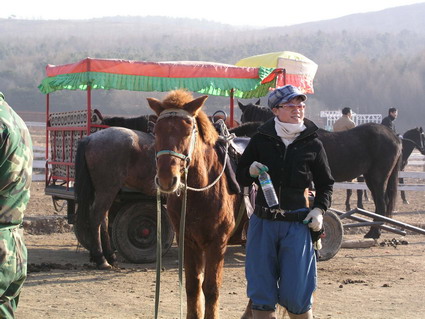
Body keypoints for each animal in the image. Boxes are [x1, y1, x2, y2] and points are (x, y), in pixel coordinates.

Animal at [147, 90, 243, 319]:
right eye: (156, 131)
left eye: (188, 131)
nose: (167, 179)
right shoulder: (188, 241)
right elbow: (192, 287)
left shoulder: (217, 243)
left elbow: (211, 289)